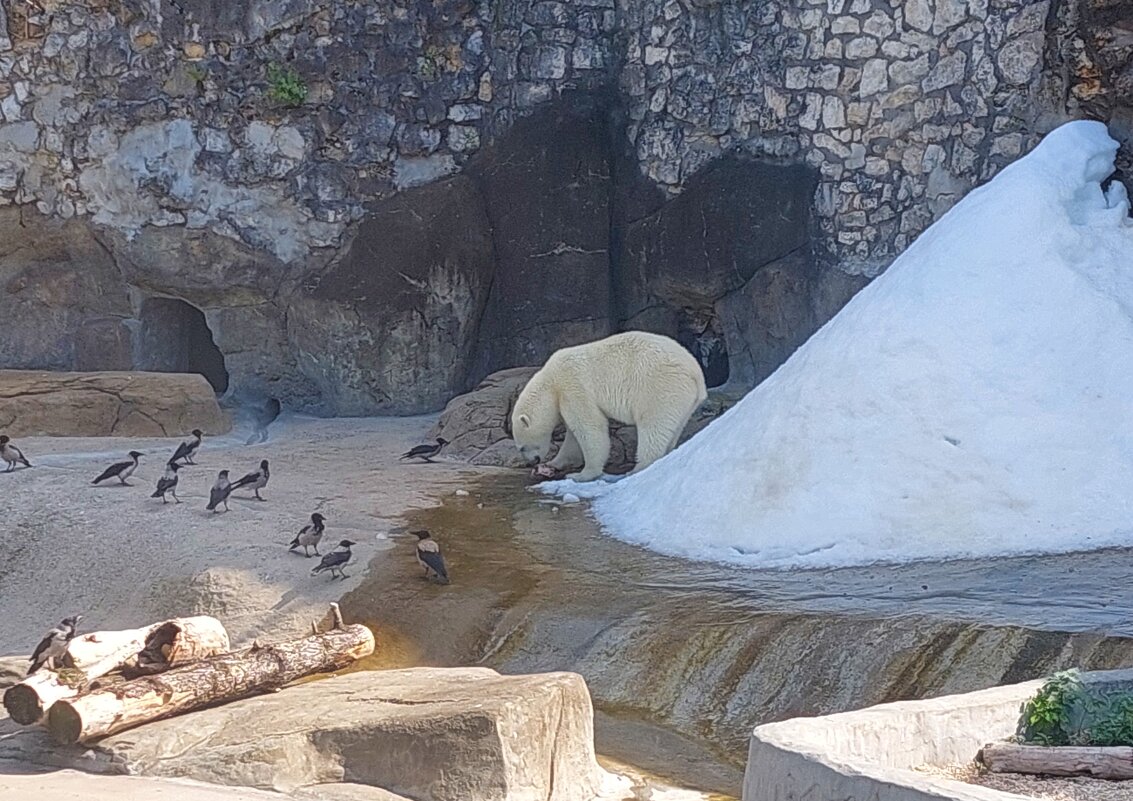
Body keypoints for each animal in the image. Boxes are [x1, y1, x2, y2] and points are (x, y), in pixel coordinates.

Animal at [514, 333, 706, 482]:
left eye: (522, 447)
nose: (531, 462)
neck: (550, 381)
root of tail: (696, 374)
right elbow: (573, 438)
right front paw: (553, 463)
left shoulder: (573, 387)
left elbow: (589, 427)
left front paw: (581, 475)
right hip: (685, 402)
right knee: (673, 428)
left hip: (660, 388)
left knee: (653, 427)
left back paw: (637, 468)